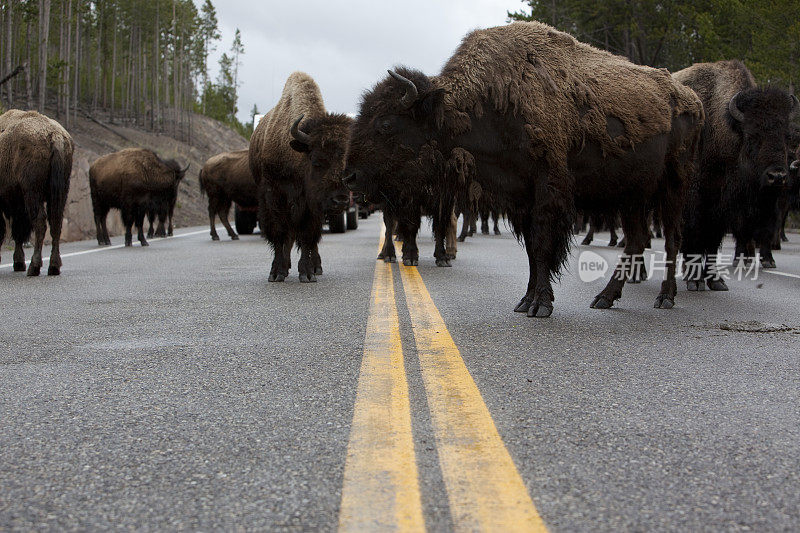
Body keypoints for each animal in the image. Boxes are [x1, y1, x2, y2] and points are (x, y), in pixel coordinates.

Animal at [0, 108, 73, 274]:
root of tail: (55, 135)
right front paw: (18, 263)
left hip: (33, 192)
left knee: (40, 222)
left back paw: (34, 267)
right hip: (61, 191)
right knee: (55, 223)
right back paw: (53, 266)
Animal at [248, 74, 352, 286]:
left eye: (348, 163)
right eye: (317, 161)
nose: (341, 200)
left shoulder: (311, 206)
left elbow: (306, 237)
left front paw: (307, 273)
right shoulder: (274, 198)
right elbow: (280, 234)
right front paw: (276, 273)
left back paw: (316, 267)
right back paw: (285, 267)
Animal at [344, 21, 700, 316]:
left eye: (385, 123)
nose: (349, 176)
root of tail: (689, 96)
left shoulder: (547, 189)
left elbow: (542, 244)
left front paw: (540, 304)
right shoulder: (520, 197)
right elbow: (531, 249)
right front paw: (526, 300)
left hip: (672, 187)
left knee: (671, 238)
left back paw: (665, 297)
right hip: (632, 195)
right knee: (636, 240)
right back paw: (605, 298)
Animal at [676, 60, 800, 288]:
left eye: (786, 137)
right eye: (752, 136)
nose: (777, 176)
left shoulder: (724, 209)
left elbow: (713, 243)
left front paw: (715, 281)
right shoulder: (694, 204)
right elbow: (694, 237)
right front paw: (694, 280)